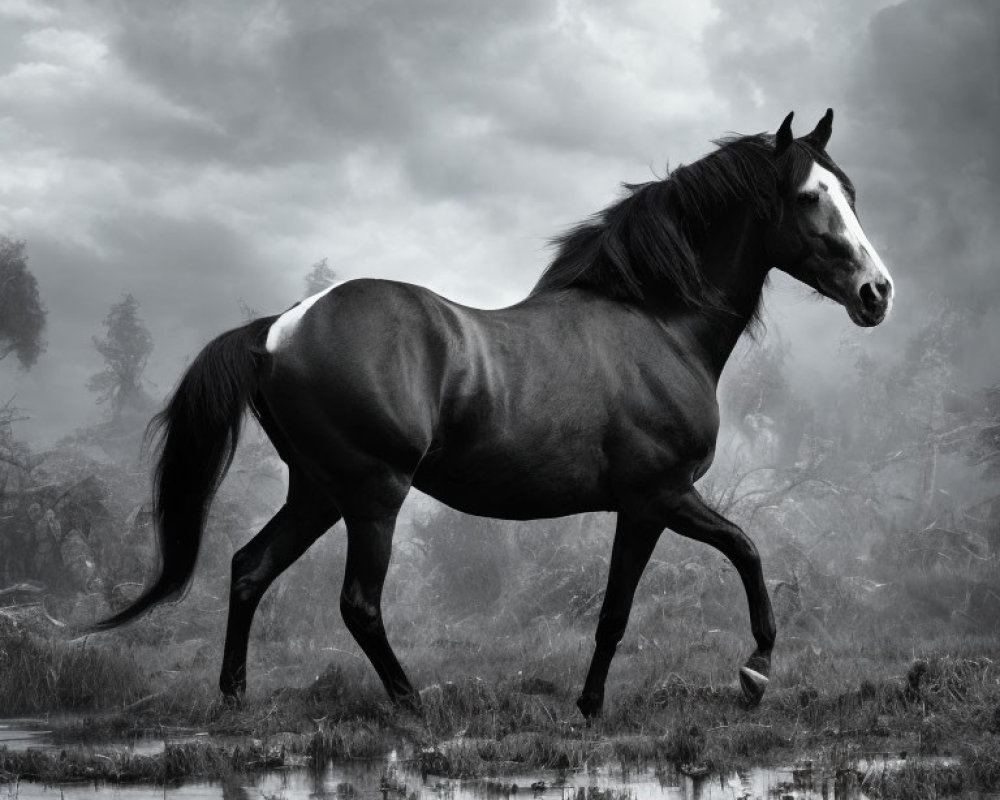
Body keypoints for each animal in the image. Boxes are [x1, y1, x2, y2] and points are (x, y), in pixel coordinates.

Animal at [94, 109, 896, 716]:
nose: (876, 292)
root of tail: (278, 328)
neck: (657, 323)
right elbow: (691, 576)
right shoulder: (657, 497)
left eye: (848, 192)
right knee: (357, 604)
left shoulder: (654, 502)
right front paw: (743, 672)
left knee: (249, 569)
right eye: (808, 197)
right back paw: (412, 704)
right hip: (372, 493)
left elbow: (705, 569)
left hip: (318, 491)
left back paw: (235, 698)